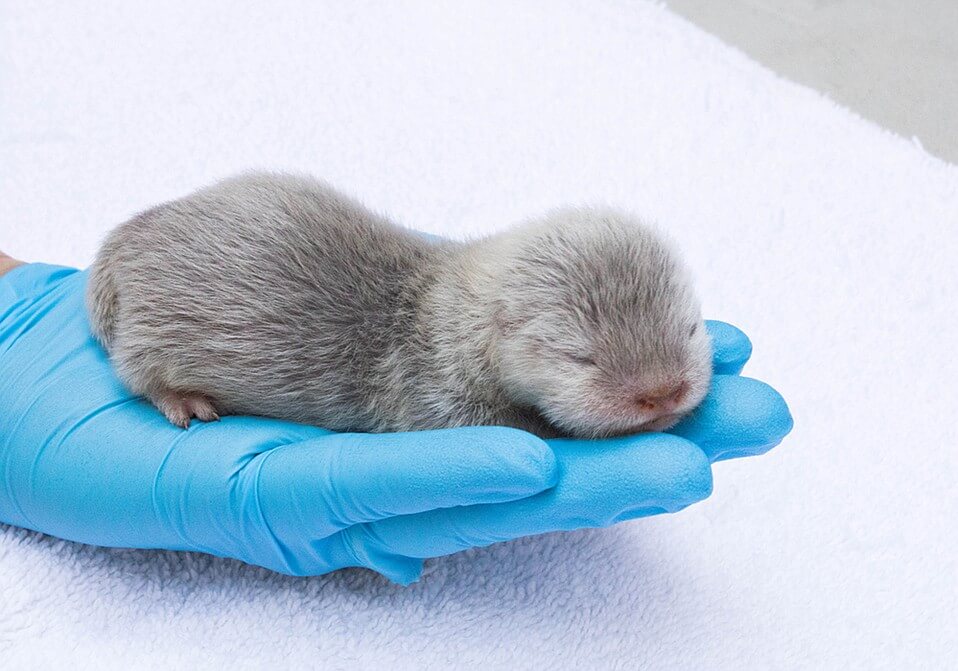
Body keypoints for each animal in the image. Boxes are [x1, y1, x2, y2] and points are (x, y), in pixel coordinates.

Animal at [88, 171, 712, 438]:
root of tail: (129, 239)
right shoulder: (431, 390)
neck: (441, 323)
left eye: (689, 329)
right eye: (581, 358)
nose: (662, 393)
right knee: (135, 373)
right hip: (150, 330)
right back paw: (183, 401)